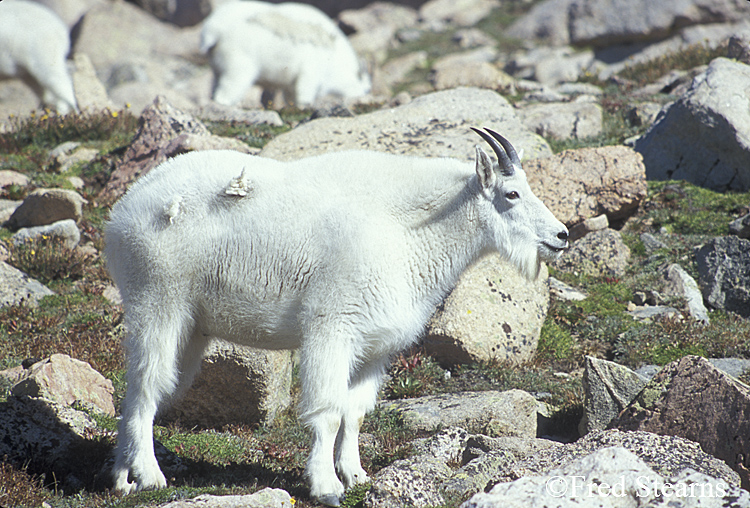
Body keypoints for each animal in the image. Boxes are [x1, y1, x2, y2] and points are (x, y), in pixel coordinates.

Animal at [106, 129, 568, 506]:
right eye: (512, 194)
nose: (561, 235)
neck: (411, 231)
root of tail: (121, 212)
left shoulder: (374, 346)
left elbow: (356, 410)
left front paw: (356, 474)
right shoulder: (331, 328)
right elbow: (328, 410)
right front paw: (326, 486)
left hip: (193, 327)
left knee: (142, 392)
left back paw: (121, 478)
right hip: (157, 300)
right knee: (147, 385)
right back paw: (149, 476)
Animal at [201, 0, 372, 106]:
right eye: (366, 89)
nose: (363, 97)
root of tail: (213, 29)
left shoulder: (291, 85)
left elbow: (291, 98)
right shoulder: (311, 72)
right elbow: (304, 94)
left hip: (217, 68)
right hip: (238, 65)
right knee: (228, 89)